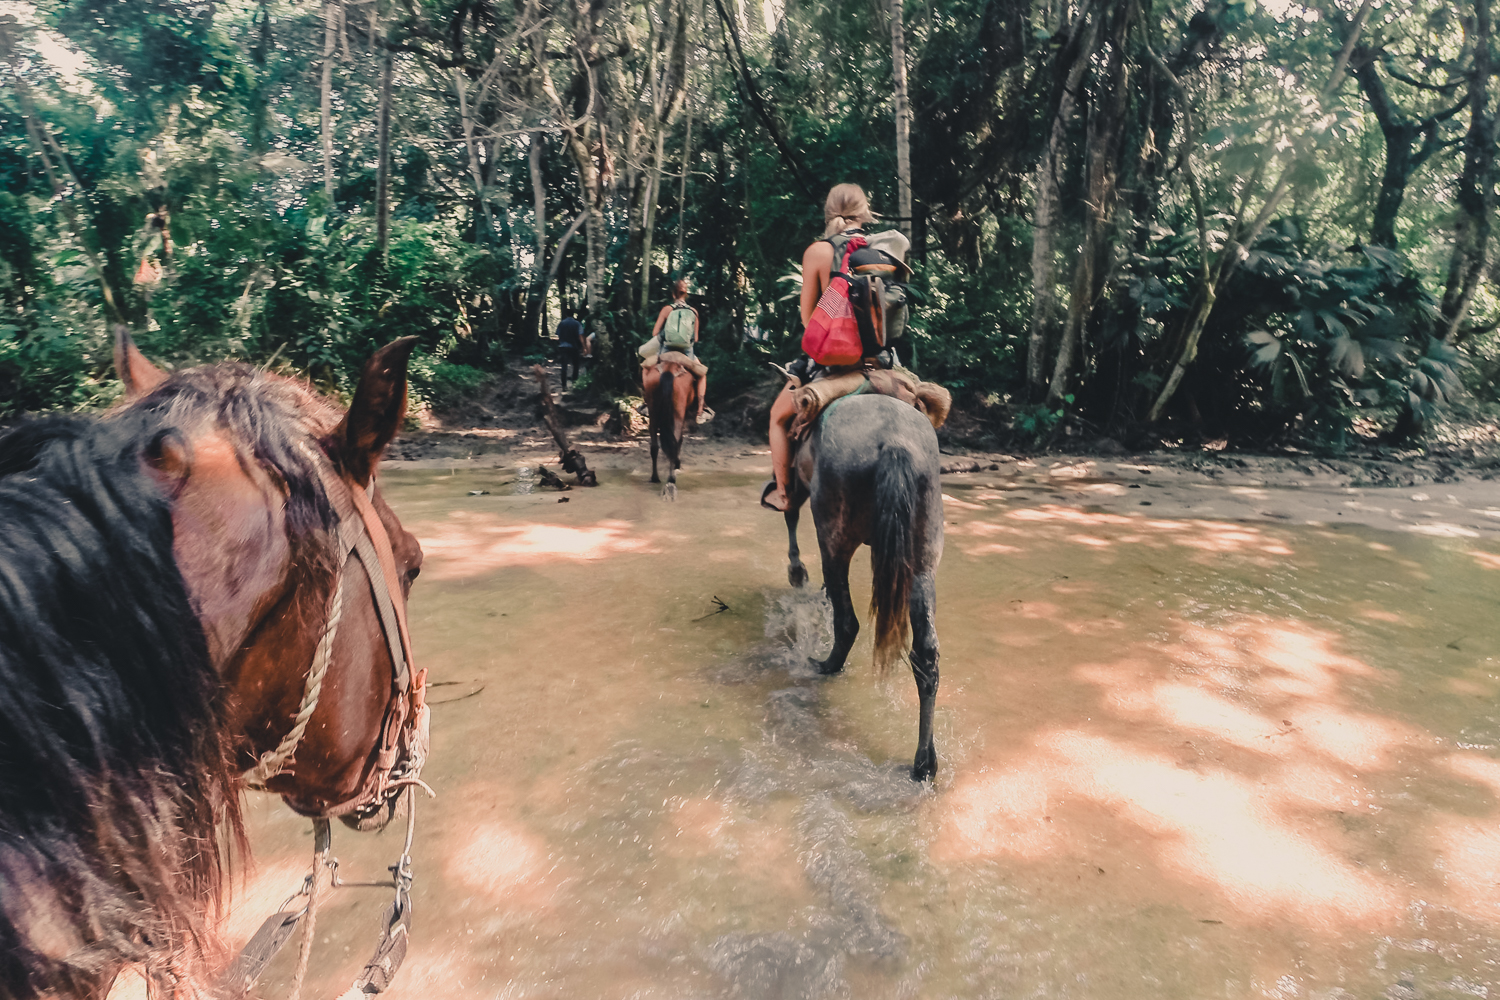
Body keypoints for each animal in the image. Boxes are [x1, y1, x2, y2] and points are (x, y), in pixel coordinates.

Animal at [639, 359, 696, 500]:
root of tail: (669, 369)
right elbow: (680, 440)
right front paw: (677, 464)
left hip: (653, 411)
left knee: (654, 446)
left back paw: (655, 477)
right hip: (678, 412)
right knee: (675, 441)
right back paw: (671, 479)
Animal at [780, 389, 942, 779]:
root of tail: (895, 442)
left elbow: (790, 512)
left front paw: (797, 572)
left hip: (834, 538)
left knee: (847, 620)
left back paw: (824, 665)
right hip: (923, 560)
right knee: (926, 654)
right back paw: (924, 762)